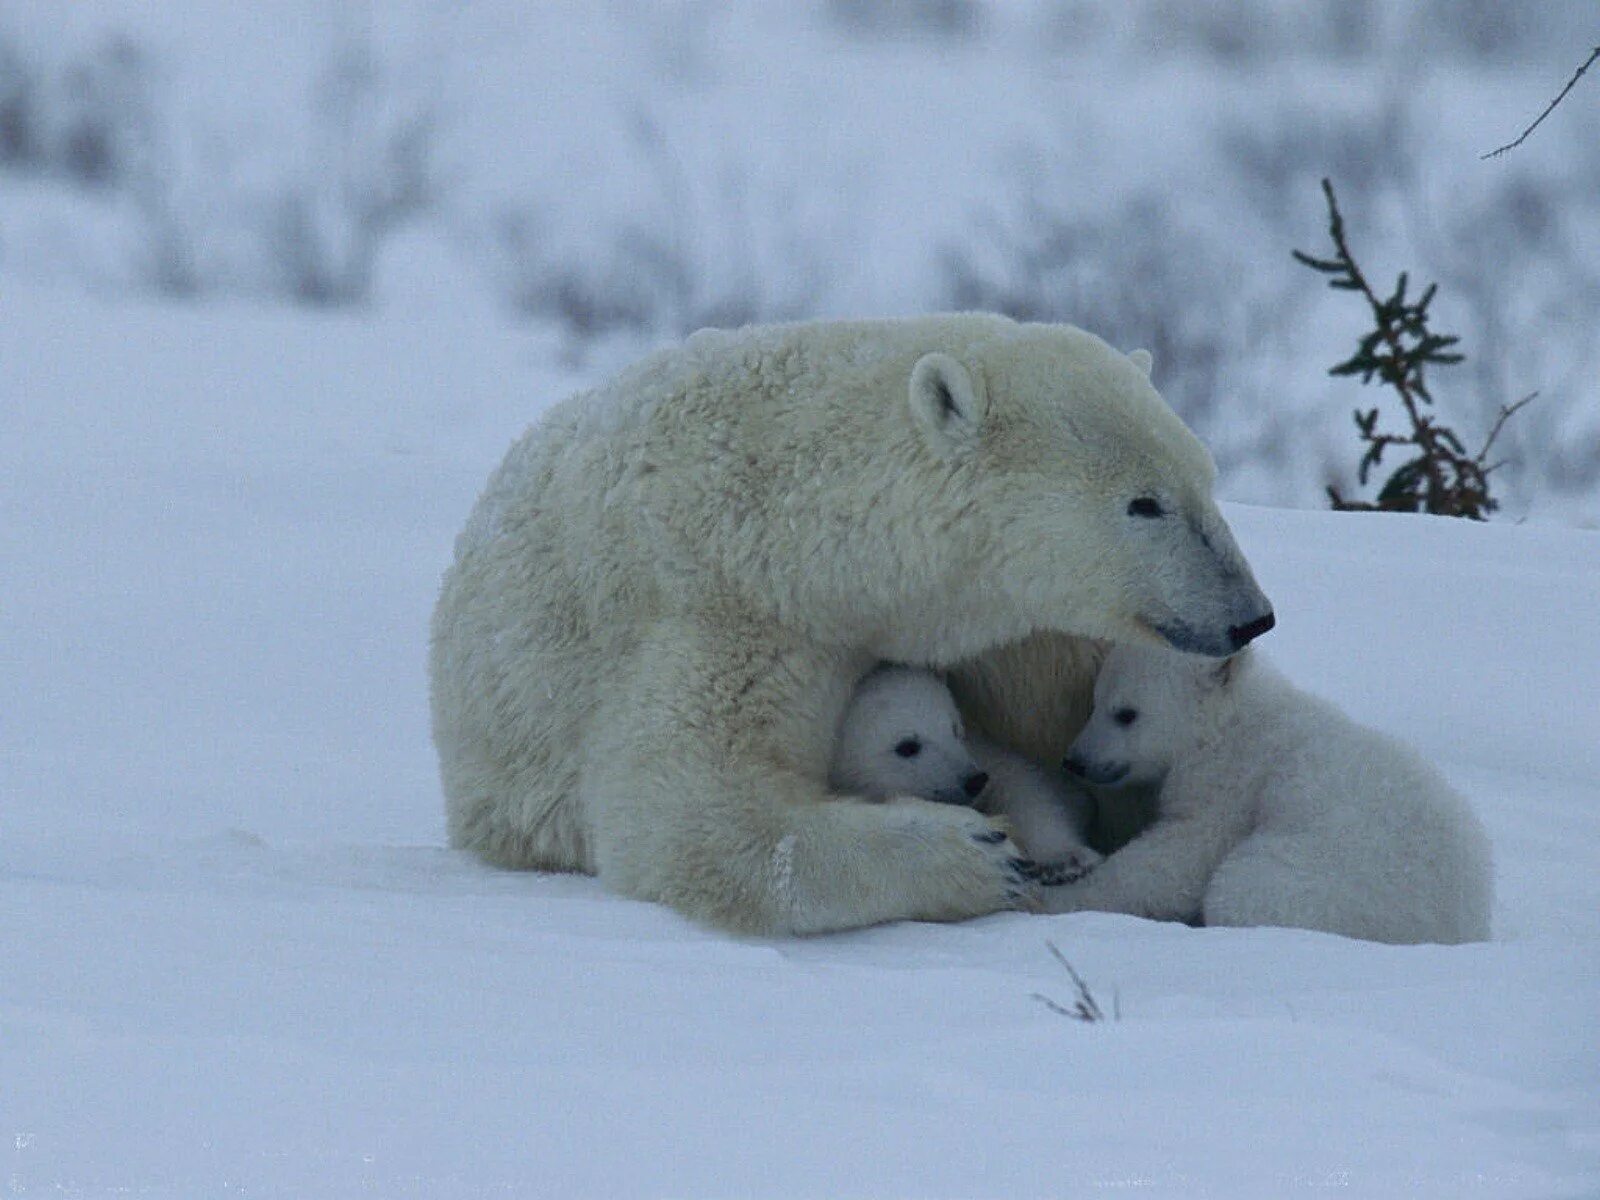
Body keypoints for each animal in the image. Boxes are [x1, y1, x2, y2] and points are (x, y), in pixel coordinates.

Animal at [832, 668, 1107, 883]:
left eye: (955, 727)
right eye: (907, 746)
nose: (974, 781)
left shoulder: (982, 752)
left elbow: (1022, 785)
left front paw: (1064, 861)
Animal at [1049, 643, 1484, 947]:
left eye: (1126, 713)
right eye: (1094, 701)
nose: (1075, 761)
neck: (1230, 721)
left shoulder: (1233, 778)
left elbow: (1181, 855)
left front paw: (1064, 896)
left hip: (1336, 881)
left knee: (1240, 889)